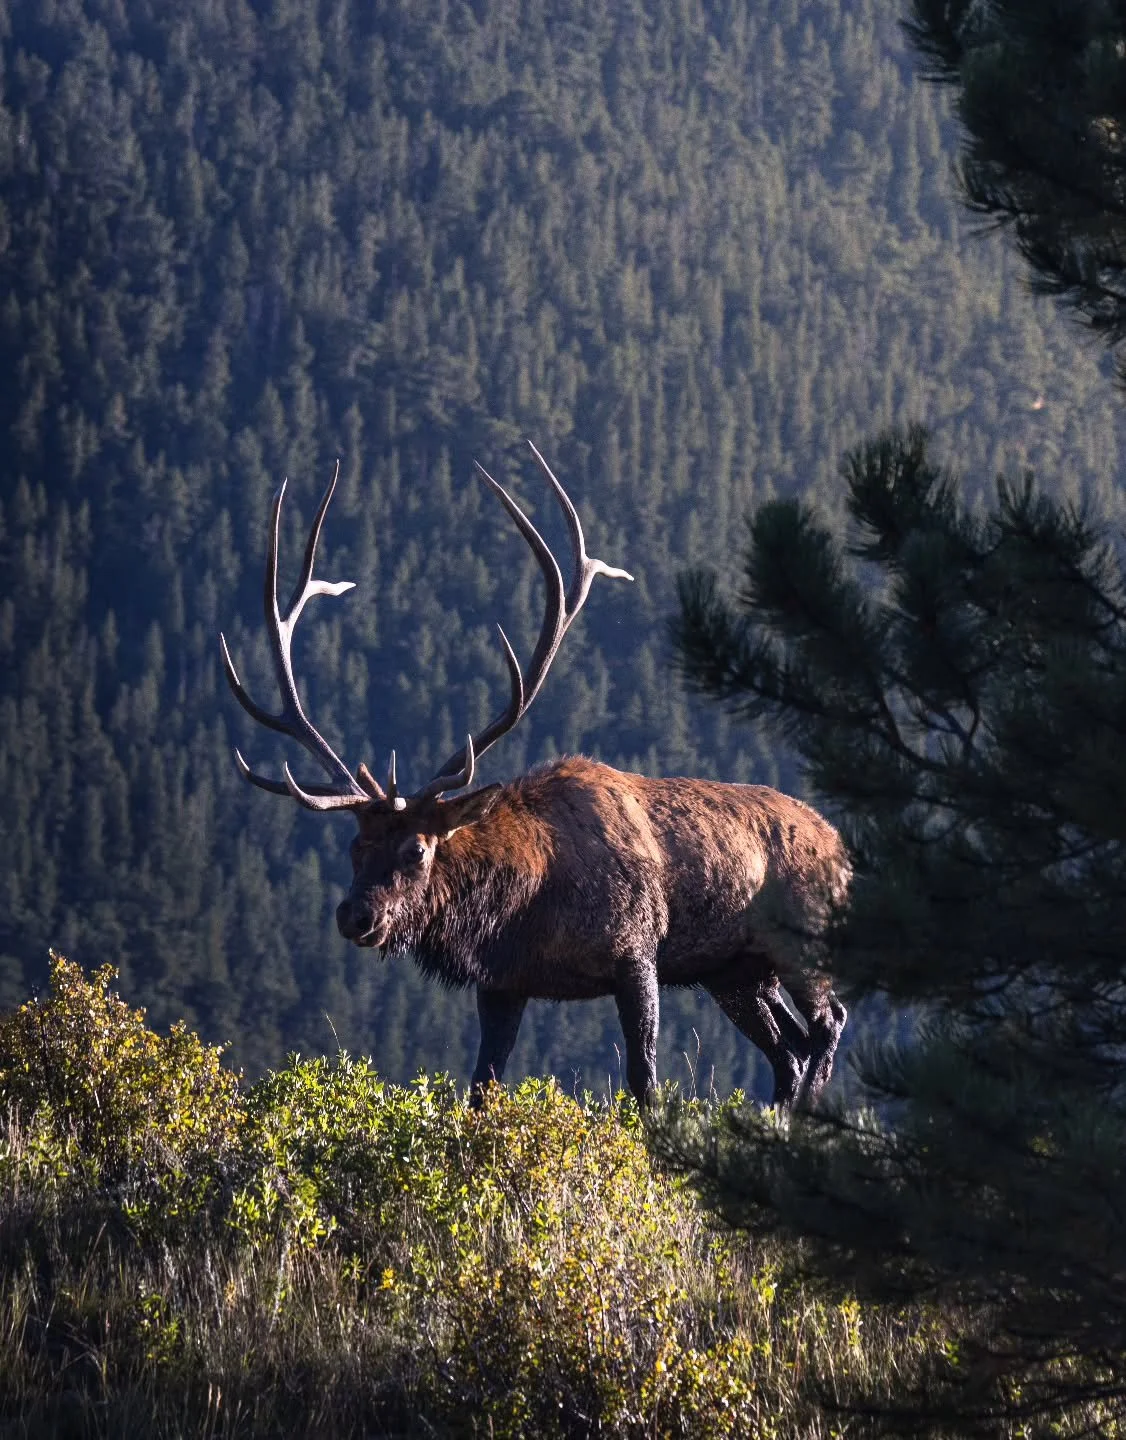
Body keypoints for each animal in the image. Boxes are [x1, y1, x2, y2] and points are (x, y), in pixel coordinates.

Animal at [219, 445, 849, 1109]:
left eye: (417, 850)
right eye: (353, 846)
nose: (354, 916)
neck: (530, 901)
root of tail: (843, 849)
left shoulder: (636, 951)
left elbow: (644, 1083)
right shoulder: (502, 982)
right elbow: (481, 1087)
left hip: (802, 944)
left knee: (828, 1024)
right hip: (737, 972)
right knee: (788, 1050)